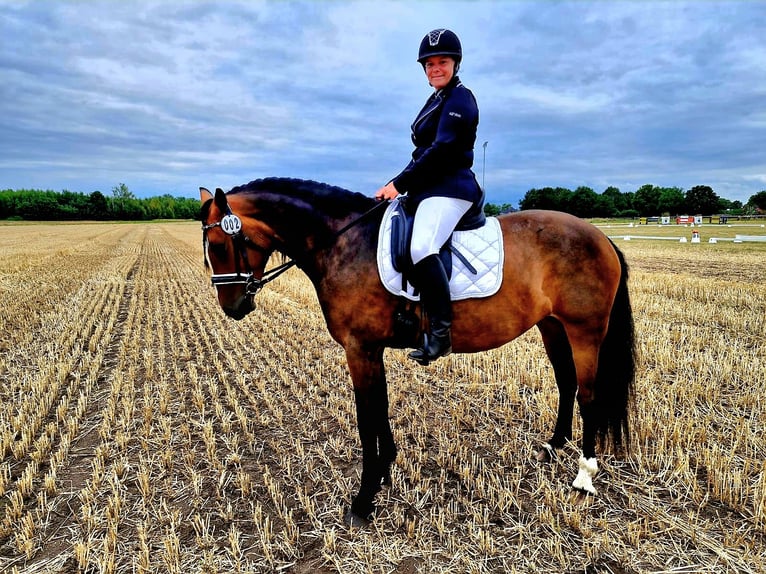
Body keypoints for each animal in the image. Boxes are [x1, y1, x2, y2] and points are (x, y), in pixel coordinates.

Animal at [199, 177, 636, 527]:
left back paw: (585, 474)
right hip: (552, 326)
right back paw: (554, 445)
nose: (232, 307)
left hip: (584, 331)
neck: (344, 242)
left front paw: (363, 500)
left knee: (589, 395)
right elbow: (380, 408)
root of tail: (600, 237)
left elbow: (366, 418)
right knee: (566, 383)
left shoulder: (359, 349)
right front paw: (385, 471)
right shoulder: (371, 350)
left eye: (219, 244)